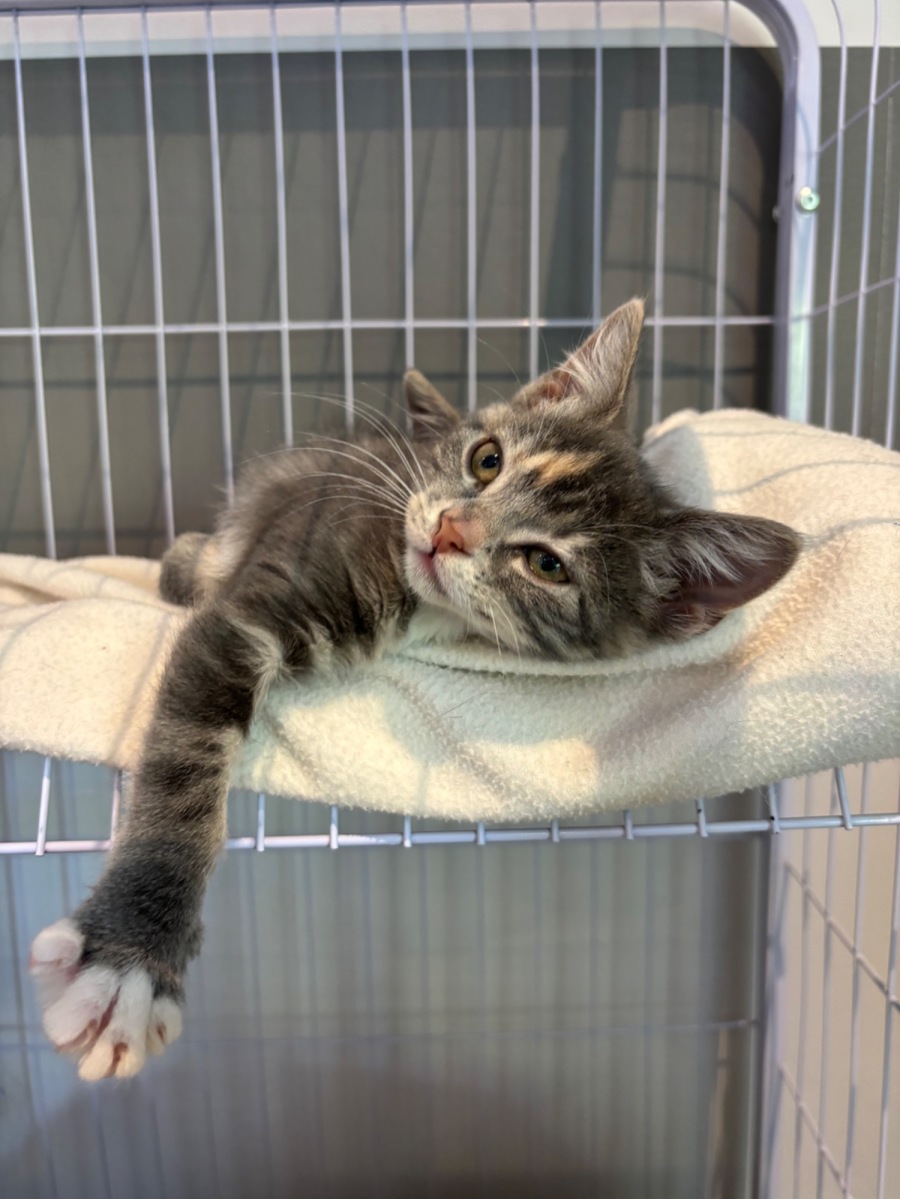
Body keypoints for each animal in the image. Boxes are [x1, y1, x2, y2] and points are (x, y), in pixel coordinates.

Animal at [28, 299, 800, 1080]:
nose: (450, 529)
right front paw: (133, 956)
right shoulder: (249, 612)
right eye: (487, 460)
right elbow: (187, 765)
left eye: (547, 564)